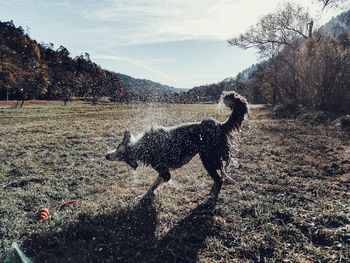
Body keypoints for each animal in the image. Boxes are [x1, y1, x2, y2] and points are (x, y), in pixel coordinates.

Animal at [105, 92, 247, 199]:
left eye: (119, 153)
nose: (106, 156)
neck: (143, 146)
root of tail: (219, 125)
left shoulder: (164, 171)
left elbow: (153, 185)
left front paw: (144, 196)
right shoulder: (164, 172)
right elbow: (153, 186)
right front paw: (145, 196)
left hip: (208, 159)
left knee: (219, 179)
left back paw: (212, 196)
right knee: (219, 178)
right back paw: (211, 192)